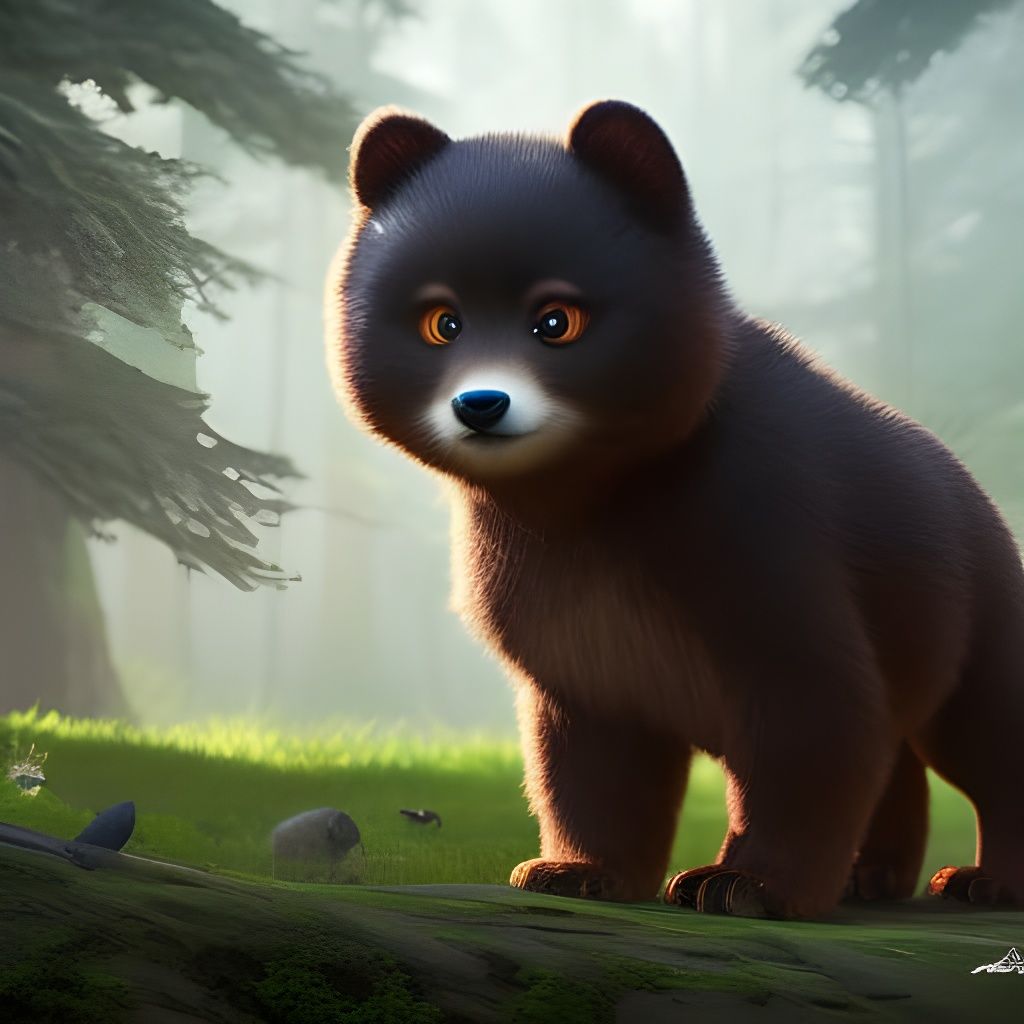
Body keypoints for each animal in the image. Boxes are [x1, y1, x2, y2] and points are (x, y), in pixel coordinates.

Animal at [325, 99, 1024, 919]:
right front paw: (576, 871)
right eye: (443, 322)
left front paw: (744, 883)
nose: (482, 403)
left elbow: (815, 720)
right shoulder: (566, 622)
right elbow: (596, 758)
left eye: (556, 319)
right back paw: (869, 878)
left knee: (988, 732)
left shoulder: (764, 540)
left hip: (974, 611)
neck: (592, 502)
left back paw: (984, 881)